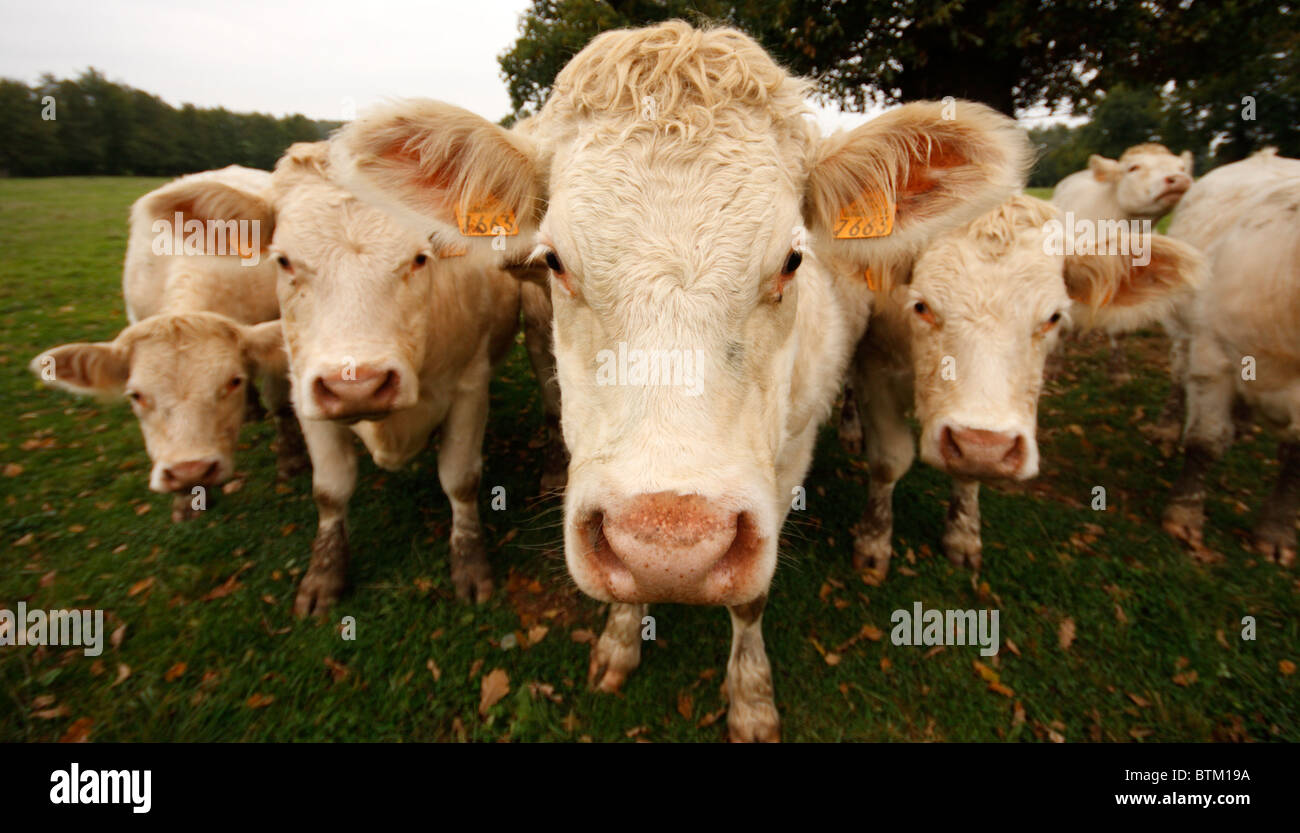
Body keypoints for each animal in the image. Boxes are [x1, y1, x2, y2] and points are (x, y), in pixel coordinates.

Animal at [31, 166, 305, 519]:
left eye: (232, 381)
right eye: (135, 395)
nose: (190, 470)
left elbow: (279, 403)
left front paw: (291, 461)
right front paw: (186, 500)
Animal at [266, 141, 520, 610]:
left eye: (420, 258)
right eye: (284, 261)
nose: (356, 386)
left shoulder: (470, 388)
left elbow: (460, 479)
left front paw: (469, 563)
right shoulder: (304, 390)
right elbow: (329, 490)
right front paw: (324, 573)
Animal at [327, 19, 1034, 738]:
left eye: (792, 261)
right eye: (553, 261)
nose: (666, 543)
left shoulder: (786, 459)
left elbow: (749, 603)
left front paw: (751, 698)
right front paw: (618, 642)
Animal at [847, 194, 1201, 584]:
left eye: (1053, 317)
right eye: (921, 306)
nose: (982, 446)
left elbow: (969, 476)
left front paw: (962, 535)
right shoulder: (875, 369)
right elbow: (888, 462)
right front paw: (873, 542)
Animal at [1164, 149, 1300, 566]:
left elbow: (1295, 461)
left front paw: (1275, 534)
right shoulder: (1212, 354)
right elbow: (1205, 441)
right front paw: (1183, 516)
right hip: (1182, 329)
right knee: (1178, 375)